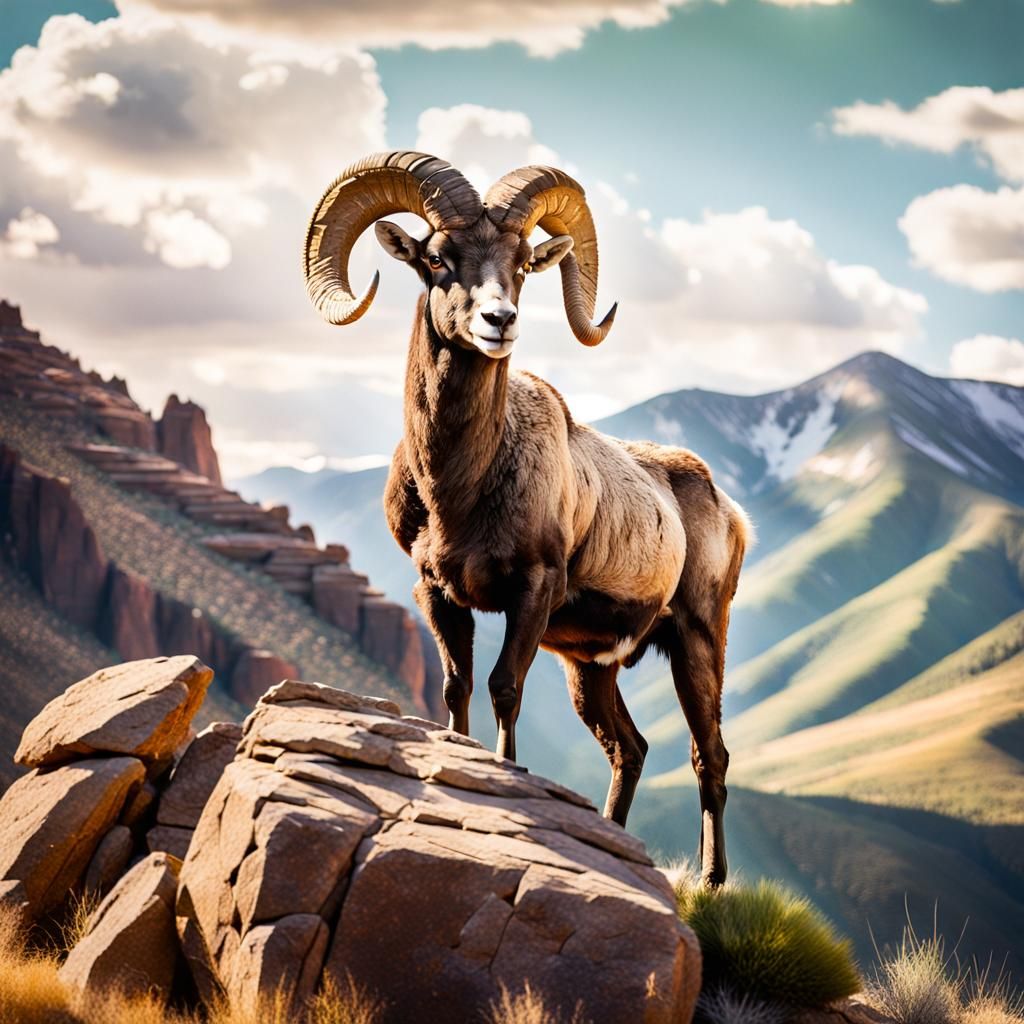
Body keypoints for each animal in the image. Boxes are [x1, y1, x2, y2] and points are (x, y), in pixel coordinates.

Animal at [303, 151, 751, 885]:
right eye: (437, 258)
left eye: (520, 263)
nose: (498, 319)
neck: (458, 490)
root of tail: (728, 509)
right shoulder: (437, 595)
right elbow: (456, 689)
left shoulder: (531, 593)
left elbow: (502, 689)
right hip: (591, 670)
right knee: (630, 749)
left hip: (696, 640)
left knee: (707, 754)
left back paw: (712, 883)